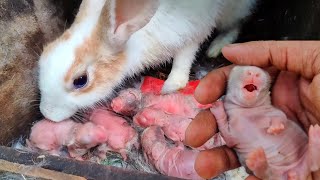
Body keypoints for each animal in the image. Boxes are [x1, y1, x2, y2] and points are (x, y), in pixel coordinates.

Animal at [38, 0, 258, 122]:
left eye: (80, 80)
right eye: (42, 56)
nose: (47, 114)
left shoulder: (191, 32)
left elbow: (184, 58)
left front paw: (171, 86)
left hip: (232, 11)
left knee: (237, 24)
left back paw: (218, 46)